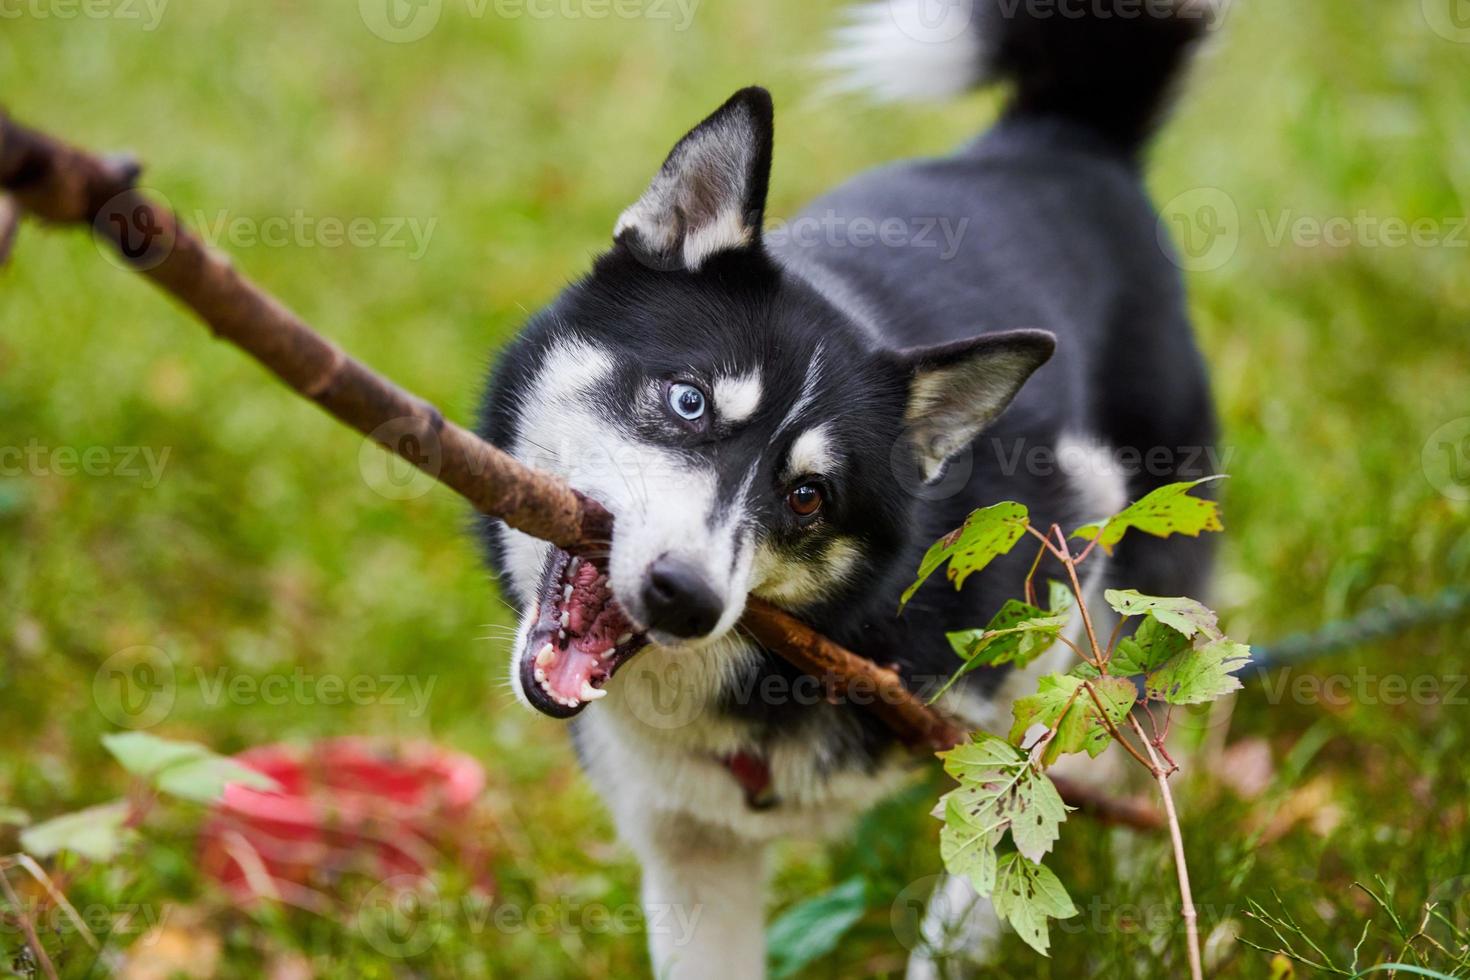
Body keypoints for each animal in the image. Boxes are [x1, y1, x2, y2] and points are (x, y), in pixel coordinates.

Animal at [479, 0, 1217, 975]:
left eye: (808, 498)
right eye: (688, 401)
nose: (684, 597)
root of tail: (1062, 139)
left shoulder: (1067, 536)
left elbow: (1009, 818)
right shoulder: (690, 852)